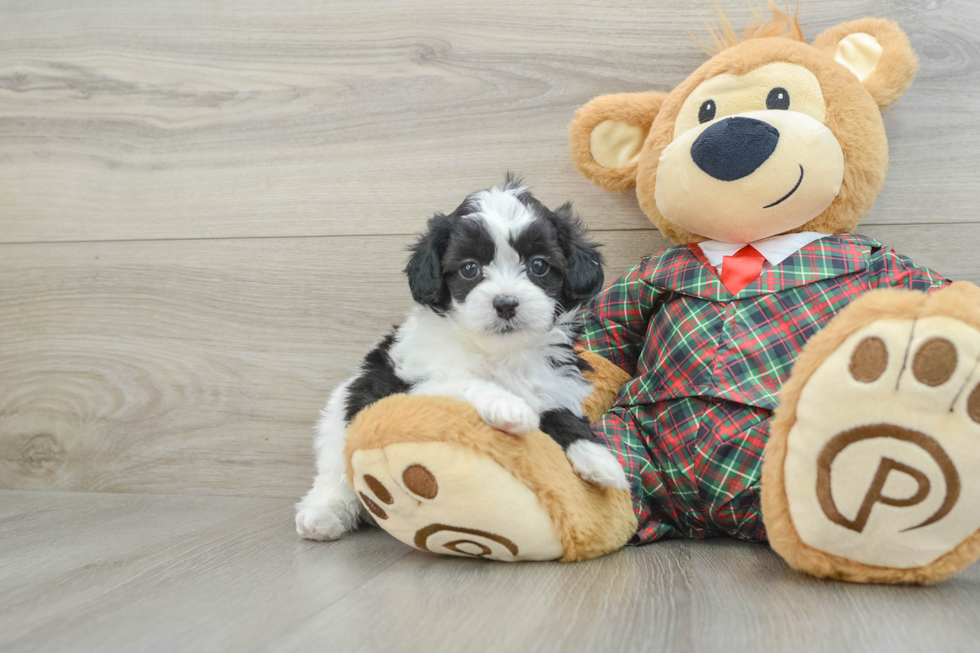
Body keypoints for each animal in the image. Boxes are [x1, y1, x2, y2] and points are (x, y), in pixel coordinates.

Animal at [294, 177, 628, 540]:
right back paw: (322, 515)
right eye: (470, 269)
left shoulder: (556, 385)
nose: (506, 303)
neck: (500, 352)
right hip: (339, 419)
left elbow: (564, 416)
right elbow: (465, 382)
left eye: (539, 265)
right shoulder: (412, 385)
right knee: (334, 476)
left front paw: (599, 458)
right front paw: (508, 406)